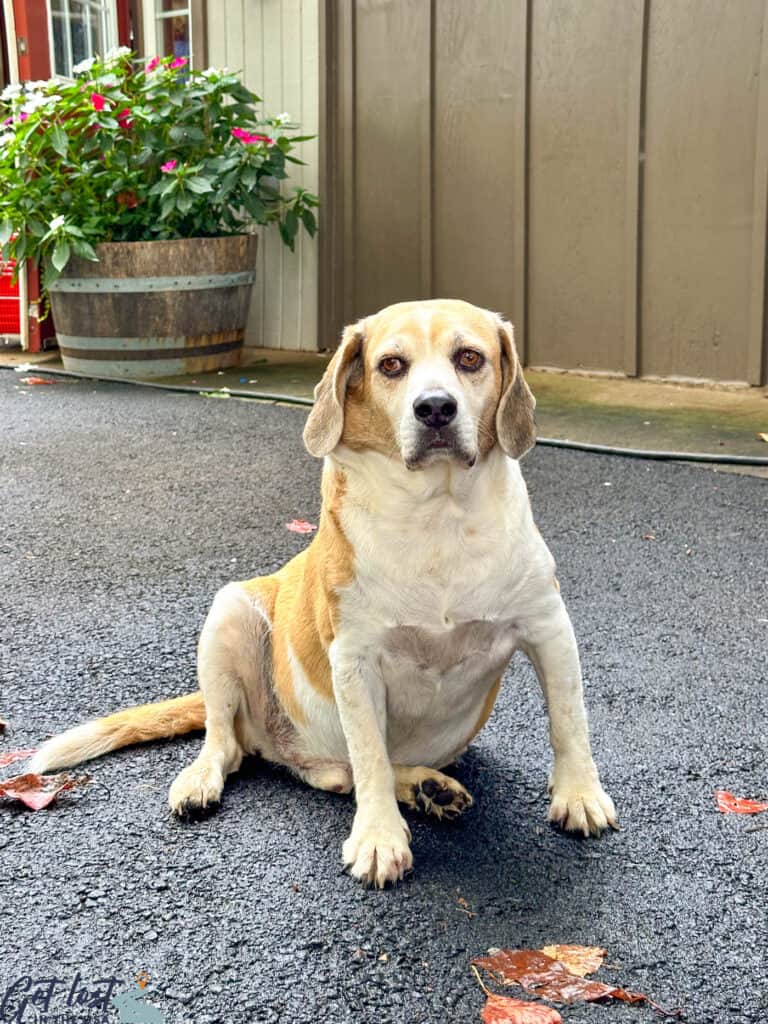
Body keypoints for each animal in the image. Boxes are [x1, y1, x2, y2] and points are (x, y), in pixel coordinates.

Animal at [31, 299, 618, 884]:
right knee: (231, 745)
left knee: (337, 774)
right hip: (229, 612)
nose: (434, 408)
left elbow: (569, 721)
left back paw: (428, 787)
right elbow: (371, 754)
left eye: (469, 358)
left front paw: (579, 795)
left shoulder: (549, 627)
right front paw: (379, 838)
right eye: (391, 365)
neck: (437, 515)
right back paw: (205, 779)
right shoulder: (355, 660)